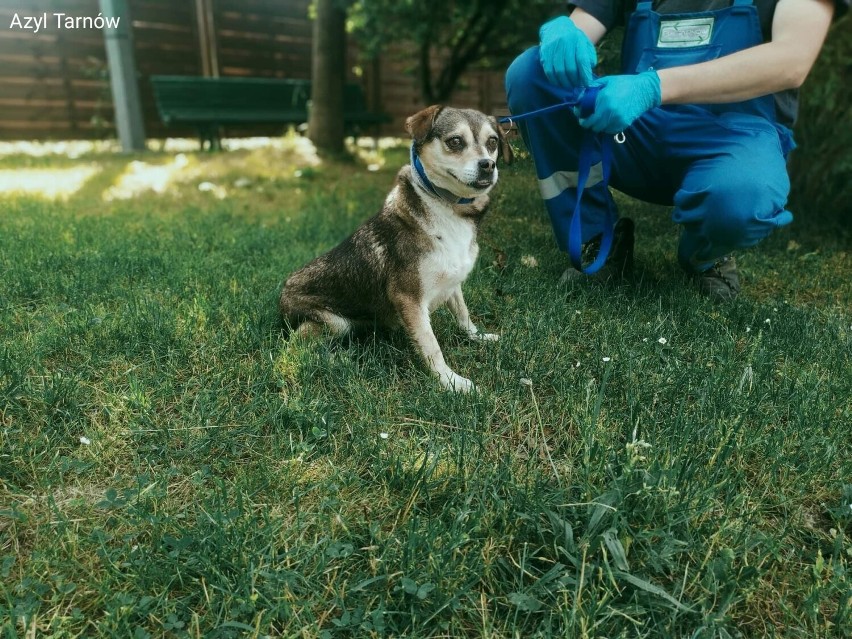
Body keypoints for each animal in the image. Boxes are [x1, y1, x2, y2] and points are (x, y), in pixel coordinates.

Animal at [280, 105, 512, 392]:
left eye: (492, 142)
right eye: (455, 141)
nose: (488, 165)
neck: (450, 208)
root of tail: (281, 295)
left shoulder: (453, 283)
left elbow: (463, 315)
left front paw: (479, 336)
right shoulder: (409, 298)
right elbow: (431, 346)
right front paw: (451, 382)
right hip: (334, 323)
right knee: (293, 349)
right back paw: (336, 362)